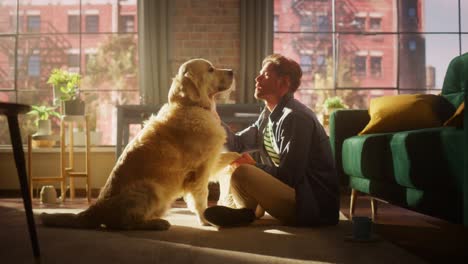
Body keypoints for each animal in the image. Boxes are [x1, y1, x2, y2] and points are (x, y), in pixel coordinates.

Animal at [41, 58, 234, 230]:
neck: (190, 106)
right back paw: (157, 224)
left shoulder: (209, 164)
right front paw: (206, 219)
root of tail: (96, 208)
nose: (232, 71)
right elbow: (201, 198)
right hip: (150, 188)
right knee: (125, 224)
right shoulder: (200, 170)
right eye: (210, 69)